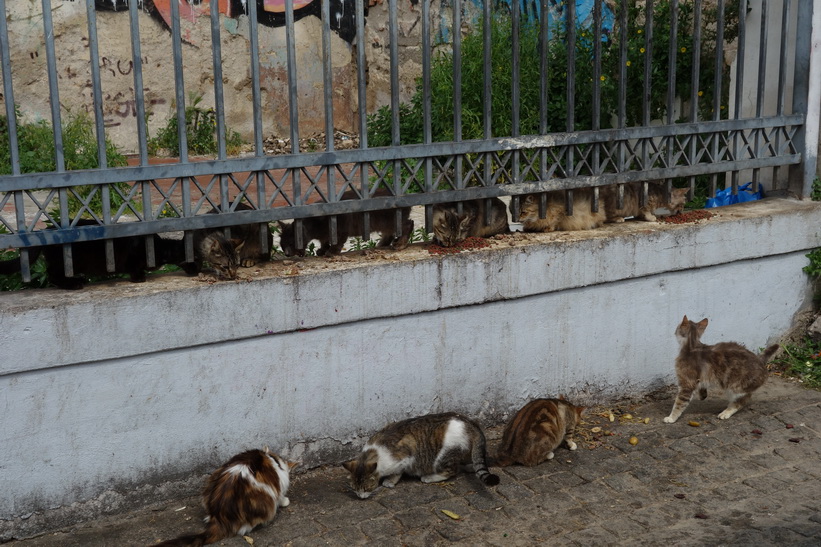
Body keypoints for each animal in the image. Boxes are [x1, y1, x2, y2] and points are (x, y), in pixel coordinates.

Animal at [278, 188, 416, 256]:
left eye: (291, 243)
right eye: (282, 245)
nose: (287, 254)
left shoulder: (342, 228)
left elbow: (338, 242)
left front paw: (332, 251)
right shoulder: (326, 235)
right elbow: (324, 241)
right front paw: (322, 250)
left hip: (392, 221)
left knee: (409, 224)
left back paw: (400, 243)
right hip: (386, 224)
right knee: (389, 233)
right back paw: (382, 245)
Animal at [342, 414, 500, 498]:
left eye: (366, 487)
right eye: (354, 487)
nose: (360, 497)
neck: (373, 452)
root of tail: (470, 423)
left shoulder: (405, 458)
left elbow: (397, 472)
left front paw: (390, 481)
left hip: (443, 455)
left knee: (451, 470)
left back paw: (429, 477)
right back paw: (470, 466)